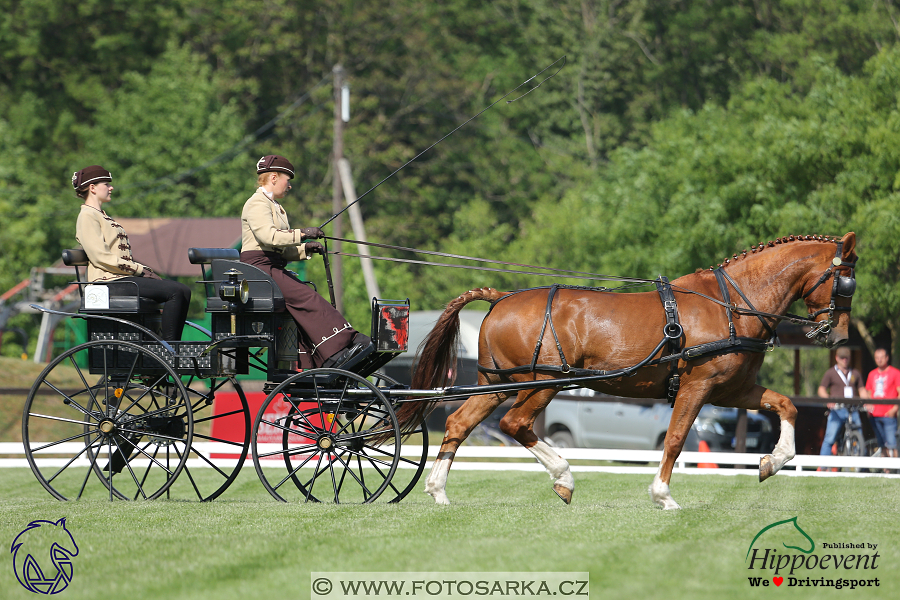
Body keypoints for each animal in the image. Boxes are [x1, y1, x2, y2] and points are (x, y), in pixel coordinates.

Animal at [406, 232, 856, 508]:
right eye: (846, 282)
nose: (839, 336)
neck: (731, 306)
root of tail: (502, 297)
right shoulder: (697, 386)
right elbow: (675, 440)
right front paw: (662, 495)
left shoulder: (732, 390)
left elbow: (786, 406)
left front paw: (772, 462)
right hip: (544, 384)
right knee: (515, 423)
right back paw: (564, 477)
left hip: (496, 385)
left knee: (460, 423)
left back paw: (438, 490)